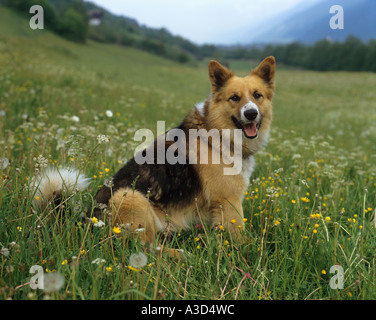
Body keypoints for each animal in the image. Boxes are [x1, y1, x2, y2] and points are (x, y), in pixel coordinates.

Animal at [33, 55, 276, 255]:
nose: (251, 113)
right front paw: (251, 255)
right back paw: (181, 255)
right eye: (234, 98)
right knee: (144, 249)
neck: (216, 133)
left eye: (257, 95)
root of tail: (85, 220)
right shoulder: (229, 202)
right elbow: (242, 238)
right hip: (128, 197)